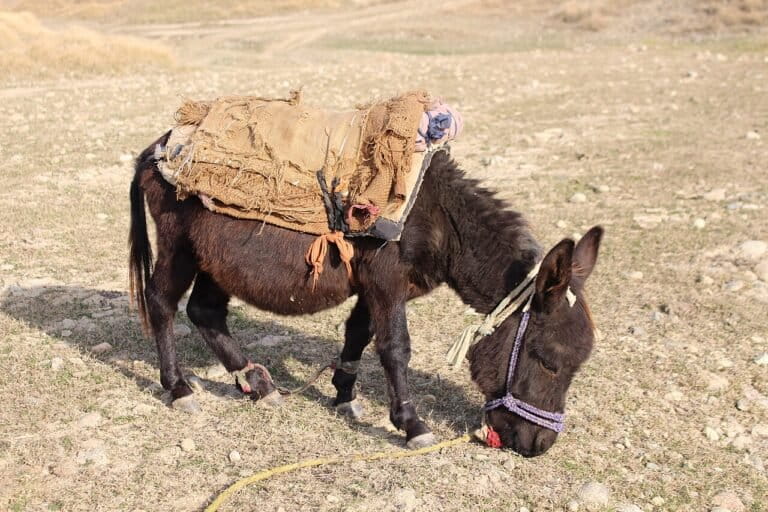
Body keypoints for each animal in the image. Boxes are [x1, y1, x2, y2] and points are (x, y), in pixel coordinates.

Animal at [129, 131, 603, 456]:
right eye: (549, 362)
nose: (539, 445)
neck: (439, 219)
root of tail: (157, 146)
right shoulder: (386, 283)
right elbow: (394, 348)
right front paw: (412, 425)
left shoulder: (376, 287)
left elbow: (359, 334)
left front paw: (344, 397)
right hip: (179, 248)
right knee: (162, 303)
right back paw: (180, 389)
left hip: (217, 261)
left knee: (205, 312)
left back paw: (257, 383)